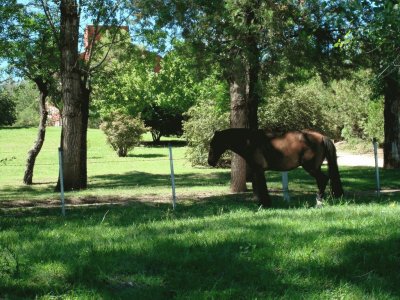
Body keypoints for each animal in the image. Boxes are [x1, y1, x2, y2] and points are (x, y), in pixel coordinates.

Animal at [206, 127, 344, 207]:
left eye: (214, 143)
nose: (210, 161)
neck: (250, 142)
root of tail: (321, 136)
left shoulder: (258, 170)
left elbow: (261, 187)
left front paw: (264, 204)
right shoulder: (258, 171)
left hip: (311, 167)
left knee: (322, 179)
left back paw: (318, 201)